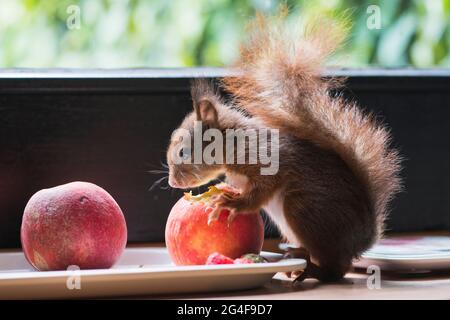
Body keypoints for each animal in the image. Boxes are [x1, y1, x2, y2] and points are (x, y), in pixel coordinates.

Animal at [165, 11, 400, 282]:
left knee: (336, 270)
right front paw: (223, 190)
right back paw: (296, 256)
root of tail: (362, 237)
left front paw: (231, 204)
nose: (172, 182)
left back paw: (310, 269)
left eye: (183, 152)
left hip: (304, 210)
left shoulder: (267, 159)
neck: (235, 142)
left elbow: (262, 190)